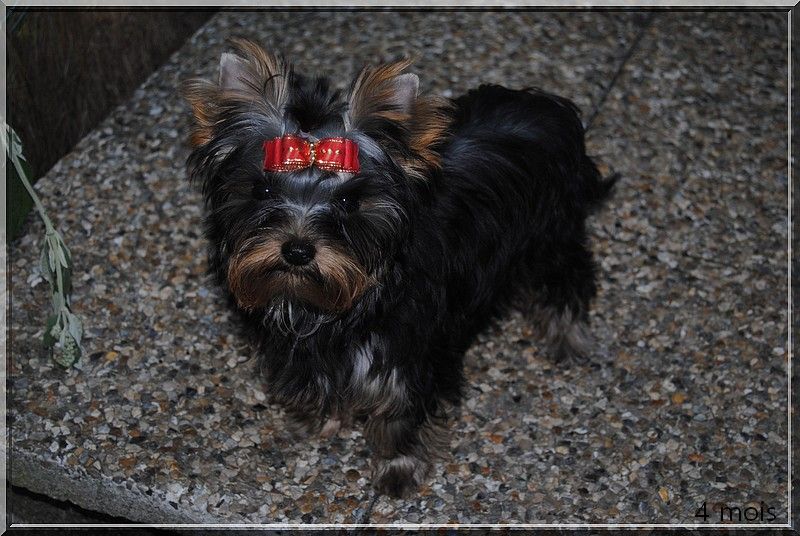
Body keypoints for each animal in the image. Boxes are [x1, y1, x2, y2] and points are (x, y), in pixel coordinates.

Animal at [181, 37, 616, 498]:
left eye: (349, 201)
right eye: (261, 190)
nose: (297, 251)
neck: (329, 309)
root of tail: (548, 107)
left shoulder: (407, 350)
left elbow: (399, 411)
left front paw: (398, 466)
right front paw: (319, 419)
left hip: (552, 232)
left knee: (568, 276)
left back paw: (567, 338)